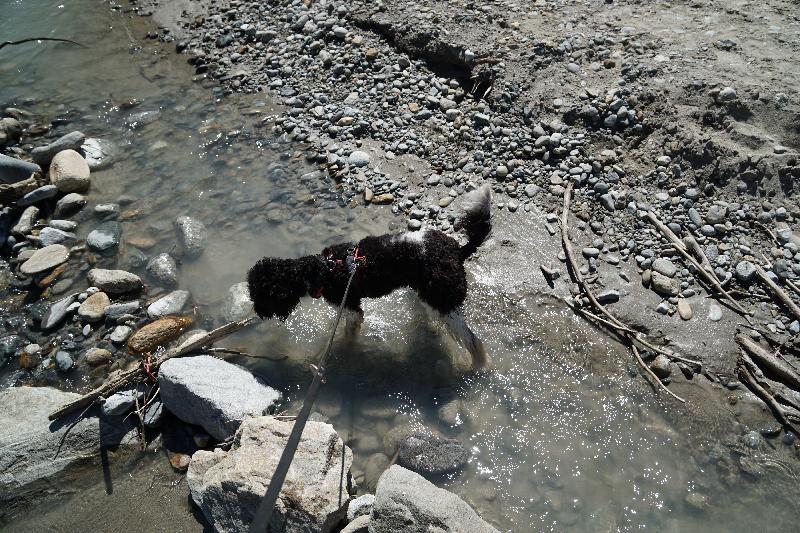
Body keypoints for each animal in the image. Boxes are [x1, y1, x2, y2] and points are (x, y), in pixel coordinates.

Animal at [247, 184, 492, 368]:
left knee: (474, 341)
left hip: (444, 302)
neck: (322, 270)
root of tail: (457, 251)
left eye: (262, 295)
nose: (257, 312)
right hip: (432, 295)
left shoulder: (352, 308)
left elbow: (348, 335)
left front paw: (343, 352)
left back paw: (476, 365)